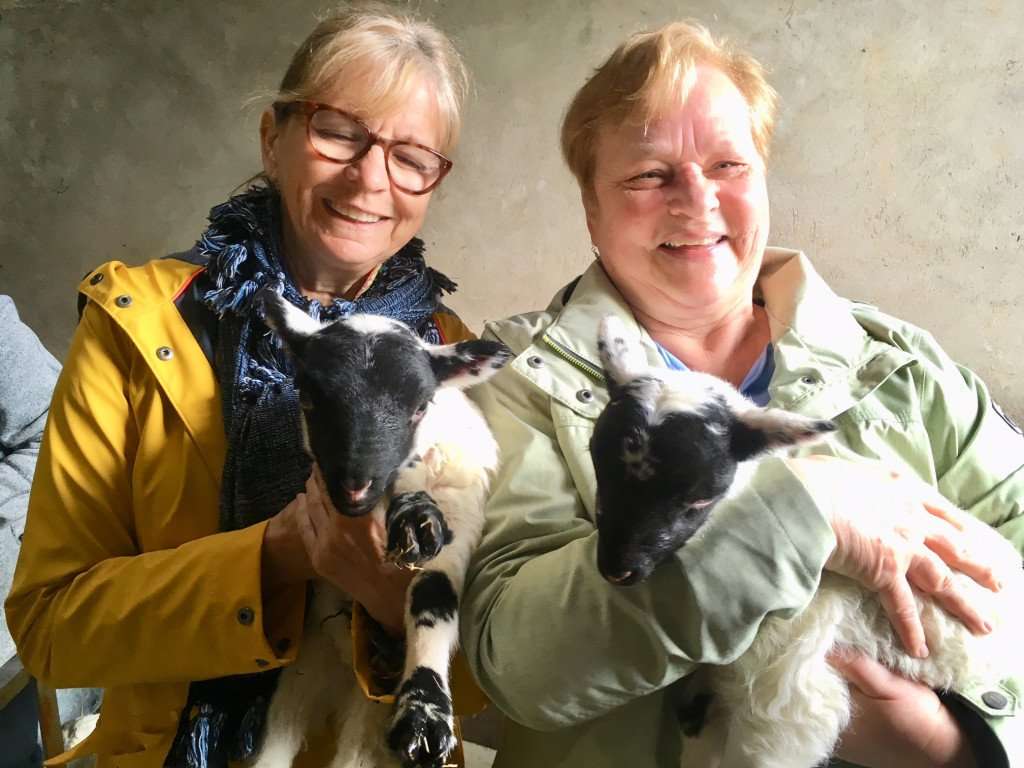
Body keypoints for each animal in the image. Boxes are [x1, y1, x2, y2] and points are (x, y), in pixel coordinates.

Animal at [253, 292, 509, 768]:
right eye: (308, 397)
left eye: (421, 406)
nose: (354, 485)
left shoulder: (461, 524)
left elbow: (434, 597)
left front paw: (425, 714)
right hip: (307, 673)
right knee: (278, 740)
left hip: (361, 714)